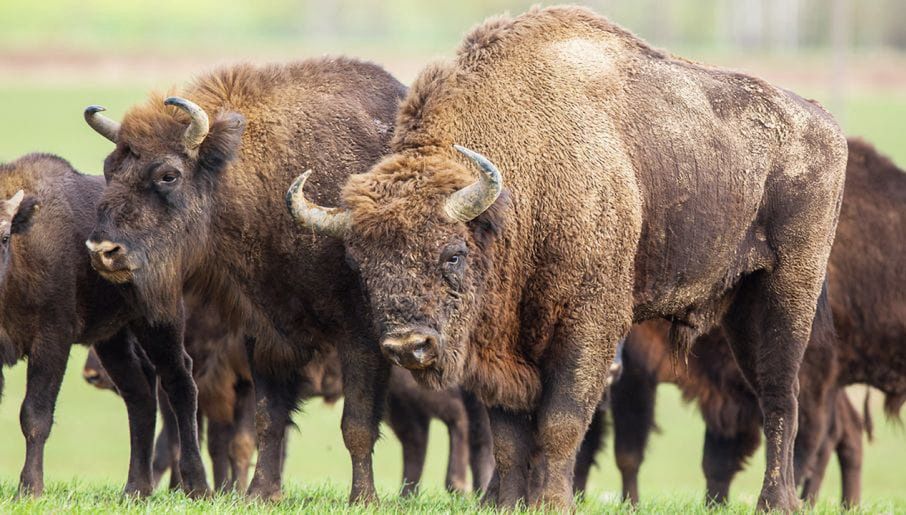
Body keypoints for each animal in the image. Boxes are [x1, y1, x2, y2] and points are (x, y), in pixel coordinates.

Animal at [0, 152, 198, 496]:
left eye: (4, 236)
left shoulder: (52, 339)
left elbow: (35, 414)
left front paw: (31, 487)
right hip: (112, 340)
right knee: (139, 394)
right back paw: (136, 489)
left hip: (159, 323)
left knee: (179, 381)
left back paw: (195, 485)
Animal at [83, 57, 408, 504]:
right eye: (109, 168)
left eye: (168, 175)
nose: (103, 251)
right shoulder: (266, 334)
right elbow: (268, 420)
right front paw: (259, 493)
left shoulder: (360, 336)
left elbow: (356, 424)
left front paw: (363, 499)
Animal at [292, 6, 848, 510]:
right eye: (361, 265)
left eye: (452, 254)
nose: (410, 346)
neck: (523, 185)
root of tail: (824, 122)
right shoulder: (500, 347)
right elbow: (509, 435)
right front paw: (508, 503)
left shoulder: (589, 326)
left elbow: (561, 422)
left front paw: (553, 502)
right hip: (739, 307)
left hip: (786, 291)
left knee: (781, 396)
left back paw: (777, 502)